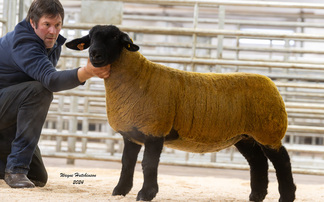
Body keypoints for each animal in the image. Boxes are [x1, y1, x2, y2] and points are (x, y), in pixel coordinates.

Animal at [66, 25, 296, 202]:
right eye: (90, 38)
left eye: (115, 37)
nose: (94, 55)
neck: (139, 78)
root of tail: (269, 82)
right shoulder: (131, 134)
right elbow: (126, 163)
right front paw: (120, 191)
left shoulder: (154, 130)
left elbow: (148, 164)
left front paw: (146, 194)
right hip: (245, 137)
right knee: (258, 162)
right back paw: (256, 196)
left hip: (269, 130)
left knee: (282, 161)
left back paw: (287, 196)